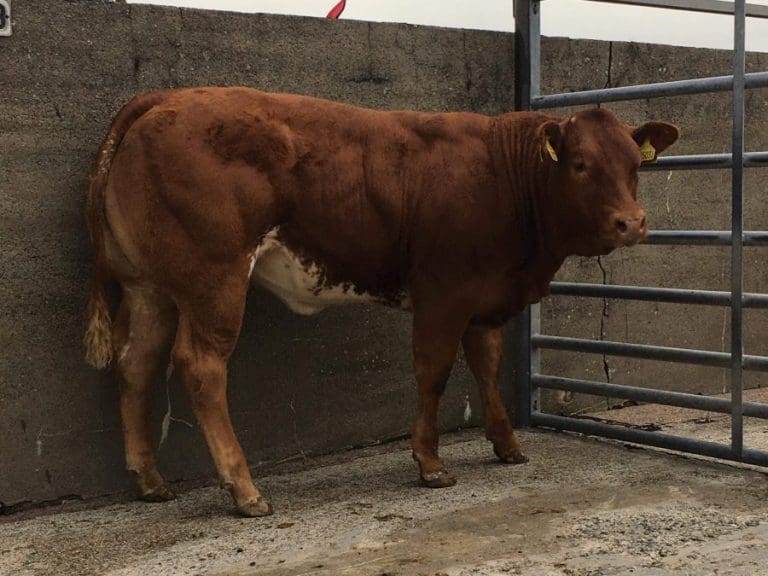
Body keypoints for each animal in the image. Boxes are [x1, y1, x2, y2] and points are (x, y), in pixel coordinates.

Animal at [84, 87, 679, 517]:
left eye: (636, 163)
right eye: (579, 164)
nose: (632, 222)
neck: (503, 177)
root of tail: (169, 97)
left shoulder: (484, 299)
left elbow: (486, 368)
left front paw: (507, 445)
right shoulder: (444, 293)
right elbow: (434, 373)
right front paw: (431, 462)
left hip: (148, 286)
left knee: (135, 362)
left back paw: (151, 481)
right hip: (216, 280)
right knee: (201, 366)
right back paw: (244, 489)